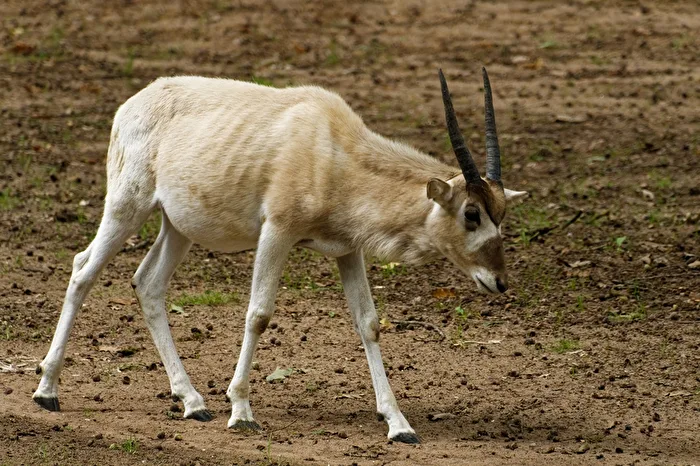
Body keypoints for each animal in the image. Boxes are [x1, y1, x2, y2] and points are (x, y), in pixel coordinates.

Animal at [33, 68, 526, 443]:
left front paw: (398, 424)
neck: (334, 151)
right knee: (83, 270)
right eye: (471, 214)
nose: (498, 281)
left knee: (148, 284)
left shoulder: (348, 250)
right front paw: (241, 410)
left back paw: (192, 401)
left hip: (178, 226)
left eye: (502, 214)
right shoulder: (278, 231)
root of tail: (135, 102)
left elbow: (368, 323)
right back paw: (47, 389)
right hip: (128, 204)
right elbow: (259, 314)